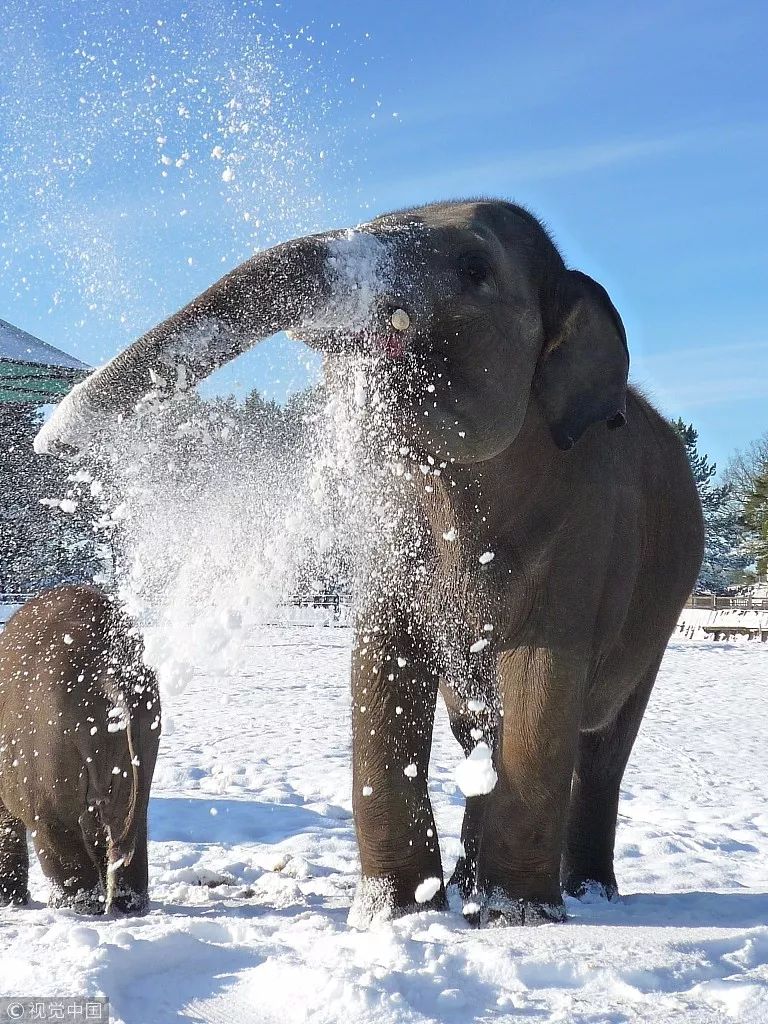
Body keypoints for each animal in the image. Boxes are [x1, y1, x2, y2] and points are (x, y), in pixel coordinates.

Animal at [0, 585, 159, 913]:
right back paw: (127, 905)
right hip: (145, 735)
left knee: (56, 831)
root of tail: (107, 670)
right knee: (129, 827)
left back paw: (75, 907)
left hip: (45, 753)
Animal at [39, 199, 708, 929]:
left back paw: (583, 894)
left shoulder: (585, 529)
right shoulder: (390, 535)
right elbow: (381, 664)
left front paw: (519, 920)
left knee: (602, 747)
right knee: (478, 732)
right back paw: (470, 885)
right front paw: (395, 914)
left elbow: (541, 683)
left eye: (475, 269)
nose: (51, 440)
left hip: (658, 616)